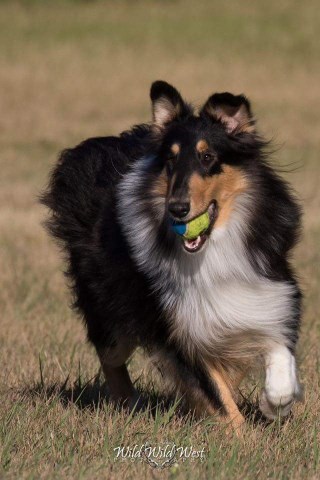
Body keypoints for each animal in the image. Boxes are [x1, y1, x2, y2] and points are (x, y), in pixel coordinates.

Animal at [42, 81, 302, 432]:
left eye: (207, 157)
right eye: (170, 160)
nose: (177, 208)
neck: (214, 247)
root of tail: (97, 147)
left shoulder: (268, 291)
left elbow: (278, 350)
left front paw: (275, 404)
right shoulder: (176, 325)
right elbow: (216, 392)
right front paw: (244, 437)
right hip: (113, 313)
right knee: (110, 357)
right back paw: (130, 404)